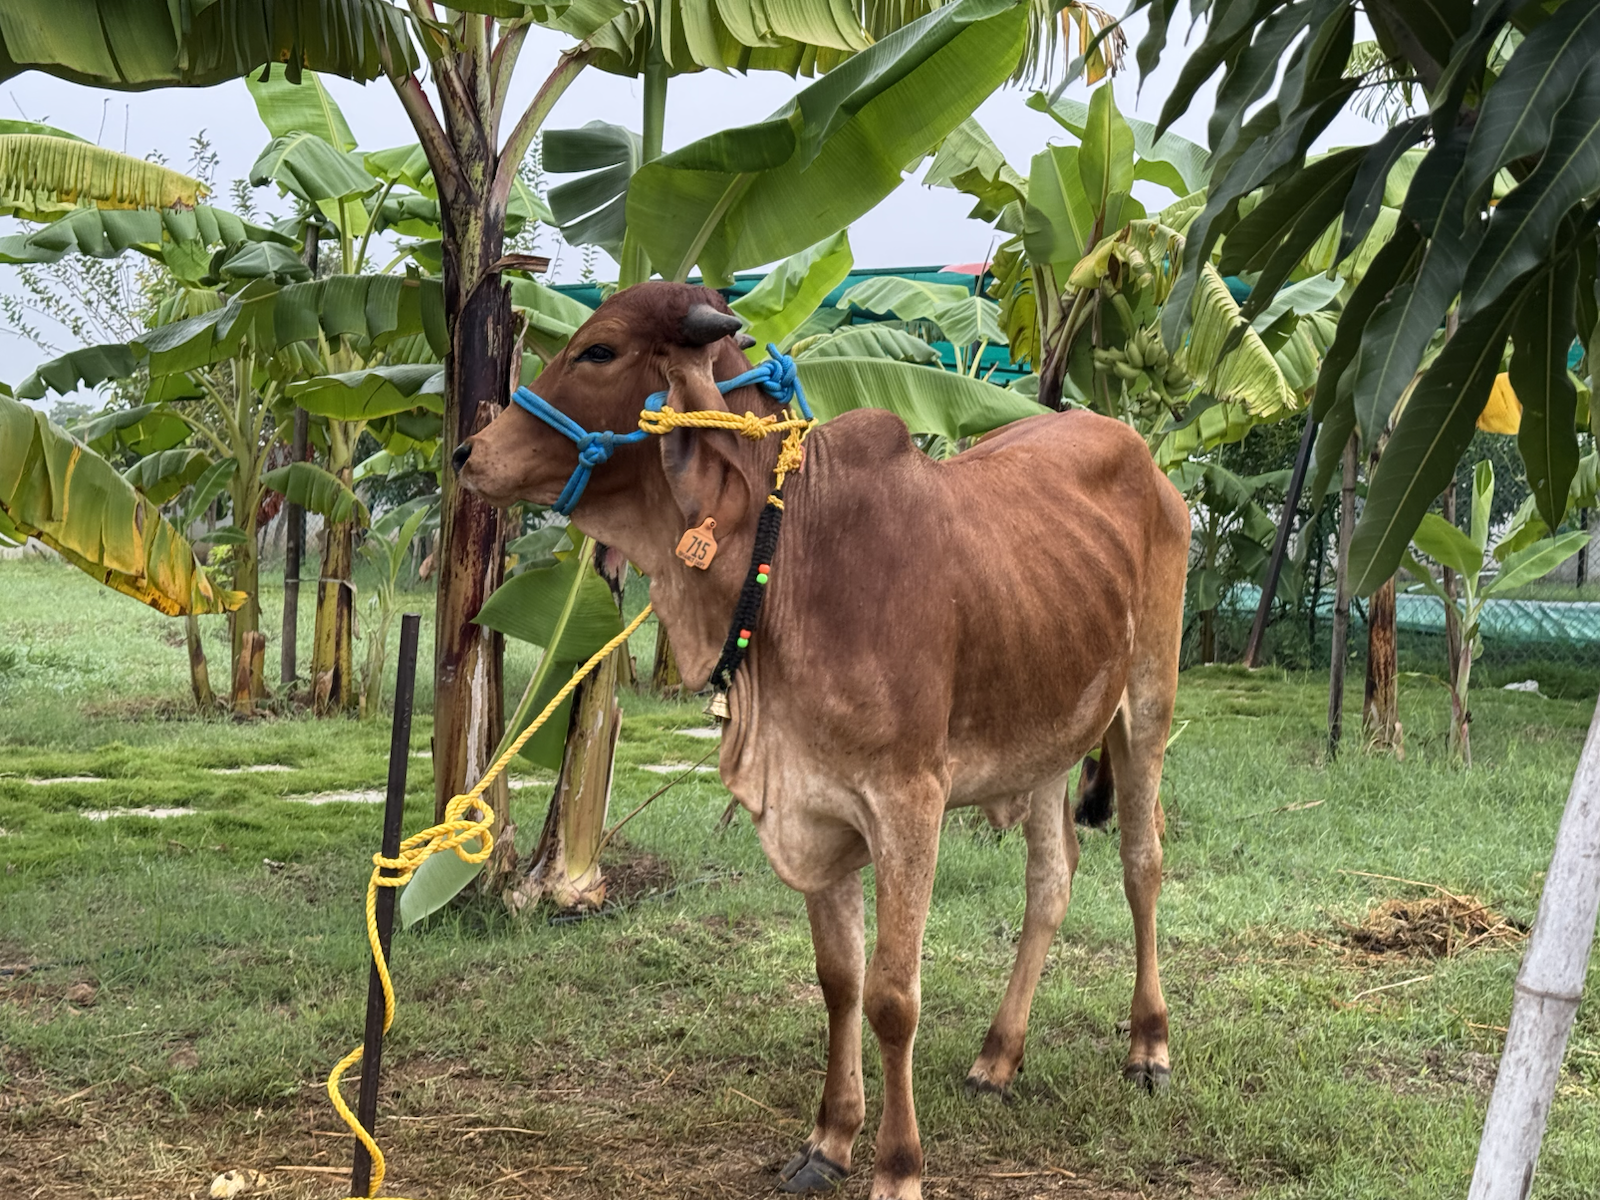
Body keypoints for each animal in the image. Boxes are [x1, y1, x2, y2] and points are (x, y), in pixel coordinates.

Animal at [454, 281, 1189, 1200]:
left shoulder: (909, 803)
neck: (789, 557)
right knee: (1052, 880)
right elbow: (840, 982)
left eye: (599, 351)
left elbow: (892, 998)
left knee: (1141, 862)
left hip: (1146, 702)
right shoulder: (814, 803)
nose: (467, 450)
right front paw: (832, 1140)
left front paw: (898, 1167)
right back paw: (997, 1056)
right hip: (1049, 727)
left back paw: (1149, 1045)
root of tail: (1138, 451)